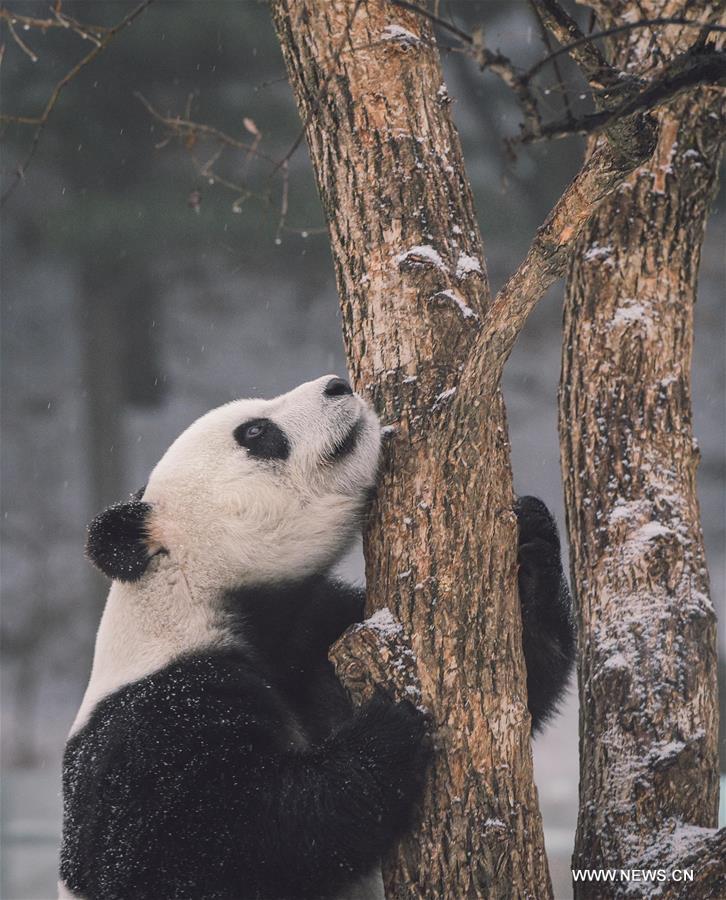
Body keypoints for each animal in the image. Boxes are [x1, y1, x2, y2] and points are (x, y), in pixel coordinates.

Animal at [59, 372, 576, 900]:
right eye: (255, 432)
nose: (337, 386)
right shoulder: (154, 723)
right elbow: (199, 848)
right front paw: (385, 736)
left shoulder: (315, 634)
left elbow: (524, 685)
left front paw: (531, 544)